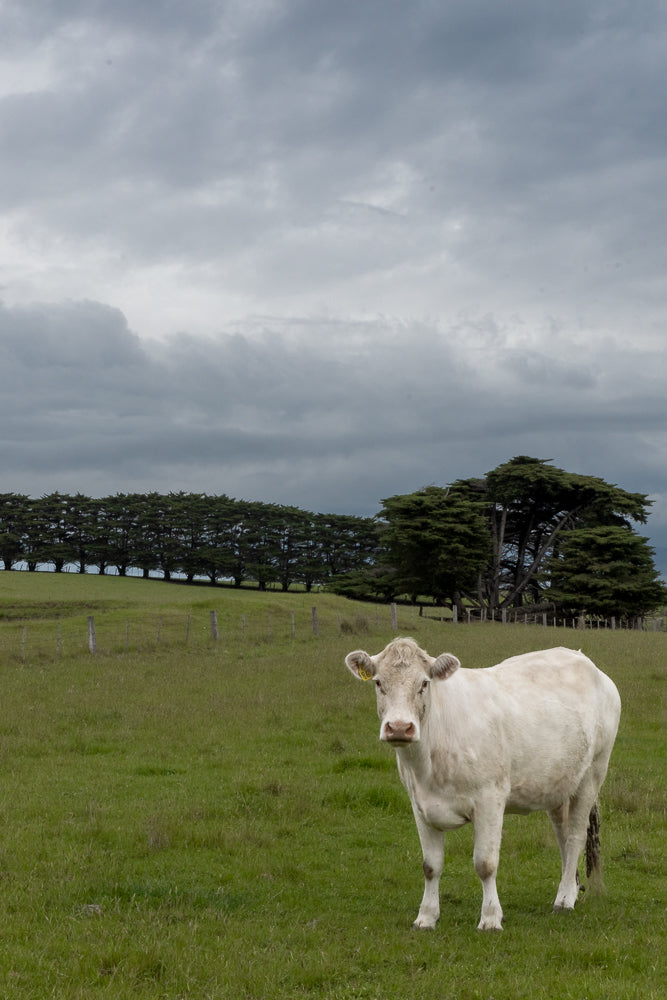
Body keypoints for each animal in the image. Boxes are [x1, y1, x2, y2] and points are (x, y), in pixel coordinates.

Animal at [344, 638, 621, 931]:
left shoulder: (490, 798)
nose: (399, 727)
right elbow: (431, 866)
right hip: (558, 784)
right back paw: (570, 888)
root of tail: (585, 661)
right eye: (378, 682)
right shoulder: (420, 805)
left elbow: (485, 863)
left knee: (576, 835)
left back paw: (565, 899)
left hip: (592, 774)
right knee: (564, 837)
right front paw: (426, 917)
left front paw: (490, 917)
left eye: (424, 683)